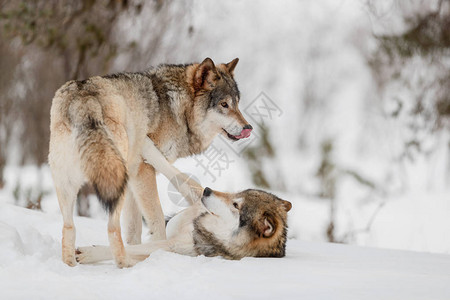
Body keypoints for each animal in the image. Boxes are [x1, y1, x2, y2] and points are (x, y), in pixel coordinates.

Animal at [50, 58, 253, 268]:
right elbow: (156, 219)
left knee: (68, 226)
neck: (177, 109)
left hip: (70, 184)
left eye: (237, 104)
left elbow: (134, 230)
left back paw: (71, 264)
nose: (248, 127)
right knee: (112, 227)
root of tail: (83, 96)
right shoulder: (142, 171)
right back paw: (123, 264)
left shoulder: (133, 180)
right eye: (224, 104)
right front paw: (157, 253)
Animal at [74, 188, 292, 262]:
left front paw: (87, 253)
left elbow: (128, 250)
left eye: (236, 205)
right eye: (235, 194)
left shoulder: (168, 247)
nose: (207, 189)